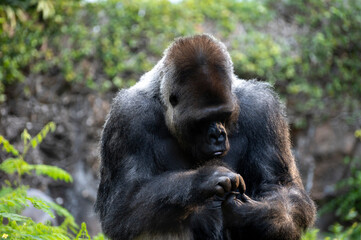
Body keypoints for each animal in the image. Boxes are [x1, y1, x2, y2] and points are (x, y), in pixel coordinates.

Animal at [95, 34, 316, 240]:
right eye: (202, 121)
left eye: (224, 115)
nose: (217, 135)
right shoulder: (128, 116)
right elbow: (123, 206)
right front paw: (207, 178)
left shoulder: (263, 107)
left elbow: (281, 186)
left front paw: (252, 214)